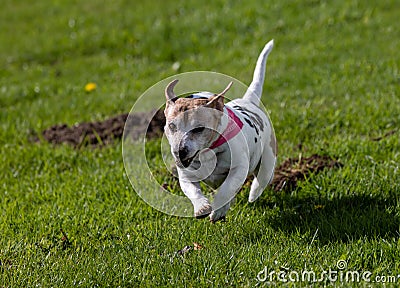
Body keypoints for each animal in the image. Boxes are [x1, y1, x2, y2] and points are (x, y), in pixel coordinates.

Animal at [164, 39, 276, 222]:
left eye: (199, 129)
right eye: (172, 126)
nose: (179, 152)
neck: (208, 152)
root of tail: (248, 101)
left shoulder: (239, 168)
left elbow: (227, 188)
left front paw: (218, 211)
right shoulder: (187, 175)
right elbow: (193, 190)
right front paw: (202, 208)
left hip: (267, 155)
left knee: (263, 176)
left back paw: (254, 192)